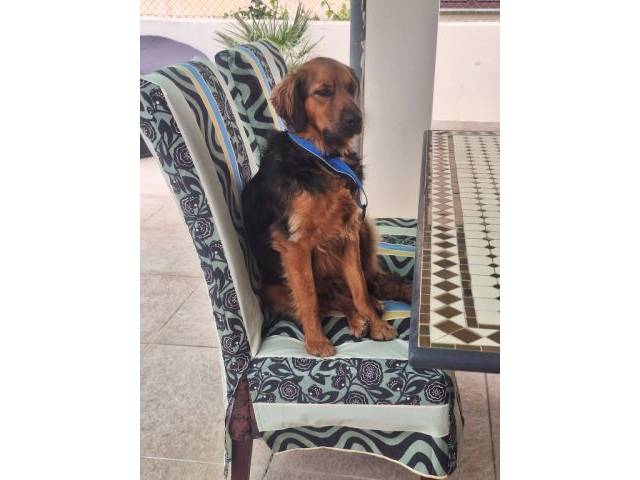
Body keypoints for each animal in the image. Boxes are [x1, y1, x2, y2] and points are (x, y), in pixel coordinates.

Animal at [241, 57, 412, 357]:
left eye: (352, 88)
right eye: (323, 92)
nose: (356, 119)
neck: (323, 158)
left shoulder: (349, 231)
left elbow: (358, 287)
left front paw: (377, 324)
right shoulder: (295, 245)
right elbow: (308, 299)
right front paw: (316, 341)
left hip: (364, 228)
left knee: (356, 288)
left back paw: (367, 312)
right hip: (276, 289)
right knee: (329, 299)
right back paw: (355, 320)